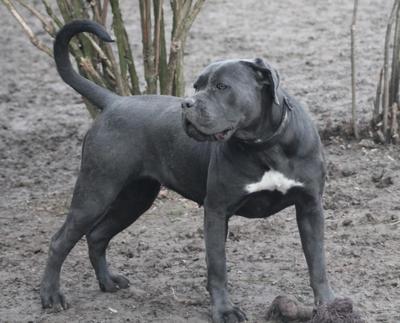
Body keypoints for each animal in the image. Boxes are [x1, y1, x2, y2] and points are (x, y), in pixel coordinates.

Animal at [40, 21, 334, 322]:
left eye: (221, 86)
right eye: (196, 86)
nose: (187, 104)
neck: (266, 145)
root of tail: (114, 102)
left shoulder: (310, 208)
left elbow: (317, 263)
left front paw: (327, 306)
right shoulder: (217, 210)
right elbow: (217, 266)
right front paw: (224, 310)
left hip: (135, 198)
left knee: (97, 235)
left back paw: (108, 282)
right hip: (95, 192)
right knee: (59, 241)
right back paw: (51, 296)